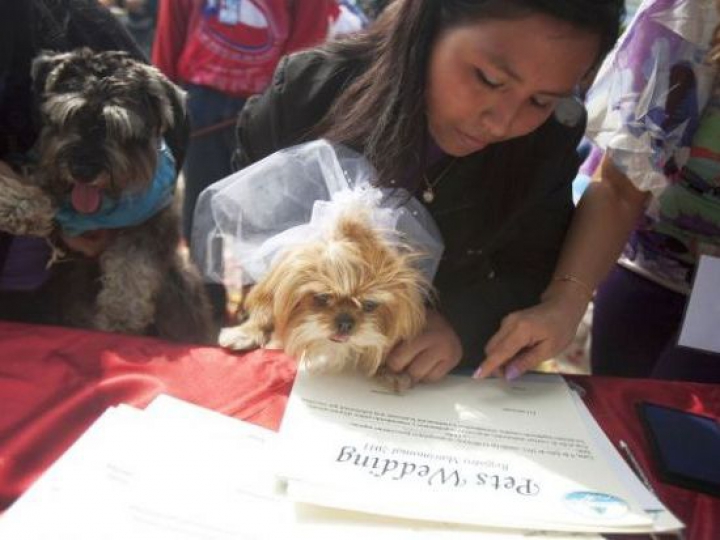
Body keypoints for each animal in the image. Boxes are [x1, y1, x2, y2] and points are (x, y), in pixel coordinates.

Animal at [0, 48, 217, 344]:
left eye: (118, 127)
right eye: (70, 116)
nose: (83, 170)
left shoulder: (148, 228)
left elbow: (131, 274)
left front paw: (119, 323)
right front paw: (22, 206)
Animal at [222, 211, 430, 384]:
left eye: (370, 305)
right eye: (322, 298)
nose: (345, 323)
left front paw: (390, 370)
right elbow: (265, 311)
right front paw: (245, 332)